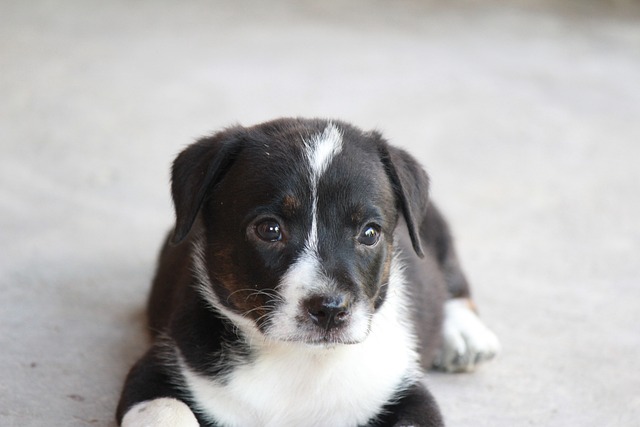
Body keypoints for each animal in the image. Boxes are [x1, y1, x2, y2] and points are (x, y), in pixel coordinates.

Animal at [117, 118, 502, 427]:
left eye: (369, 233)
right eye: (269, 229)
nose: (330, 310)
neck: (299, 359)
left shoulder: (407, 393)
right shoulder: (158, 369)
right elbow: (168, 411)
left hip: (434, 229)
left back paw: (465, 334)